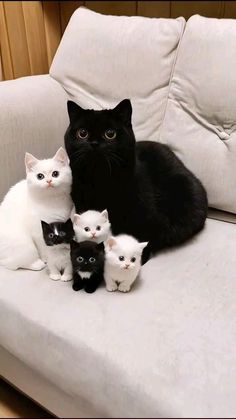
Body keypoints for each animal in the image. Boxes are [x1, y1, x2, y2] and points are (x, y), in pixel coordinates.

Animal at [64, 99, 206, 264]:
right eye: (82, 133)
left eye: (110, 134)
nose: (94, 143)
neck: (100, 181)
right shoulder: (82, 206)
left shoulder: (145, 216)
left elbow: (144, 236)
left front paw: (138, 258)